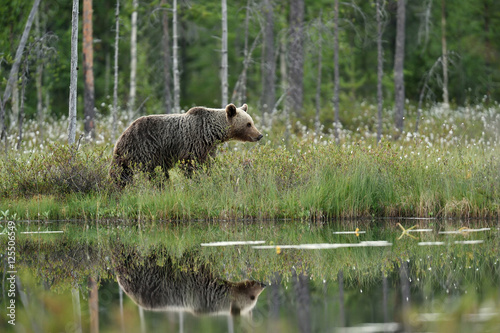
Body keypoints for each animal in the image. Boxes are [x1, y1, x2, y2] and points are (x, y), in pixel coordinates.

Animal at [109, 102, 262, 185]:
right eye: (248, 124)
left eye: (252, 122)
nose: (259, 135)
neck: (211, 133)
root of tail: (123, 133)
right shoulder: (193, 143)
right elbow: (190, 166)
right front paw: (195, 179)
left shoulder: (207, 148)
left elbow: (207, 164)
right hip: (143, 149)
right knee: (128, 173)